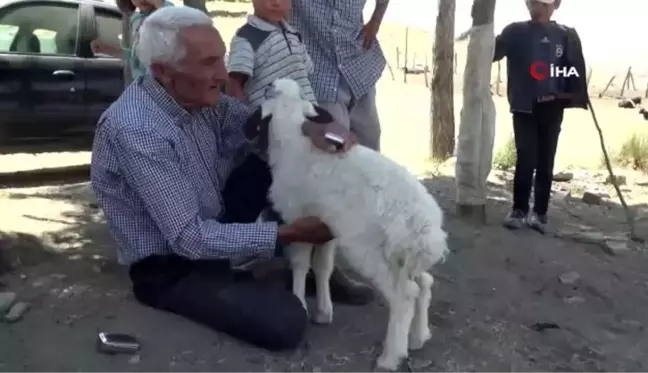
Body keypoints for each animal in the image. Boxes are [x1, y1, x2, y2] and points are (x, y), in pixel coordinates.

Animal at [256, 77, 448, 370]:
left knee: (404, 295)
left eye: (272, 91)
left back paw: (390, 357)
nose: (270, 83)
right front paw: (323, 312)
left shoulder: (297, 216)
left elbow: (300, 264)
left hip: (368, 247)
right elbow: (322, 267)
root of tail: (423, 225)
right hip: (403, 255)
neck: (291, 142)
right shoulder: (325, 228)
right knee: (424, 283)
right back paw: (417, 337)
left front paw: (300, 303)